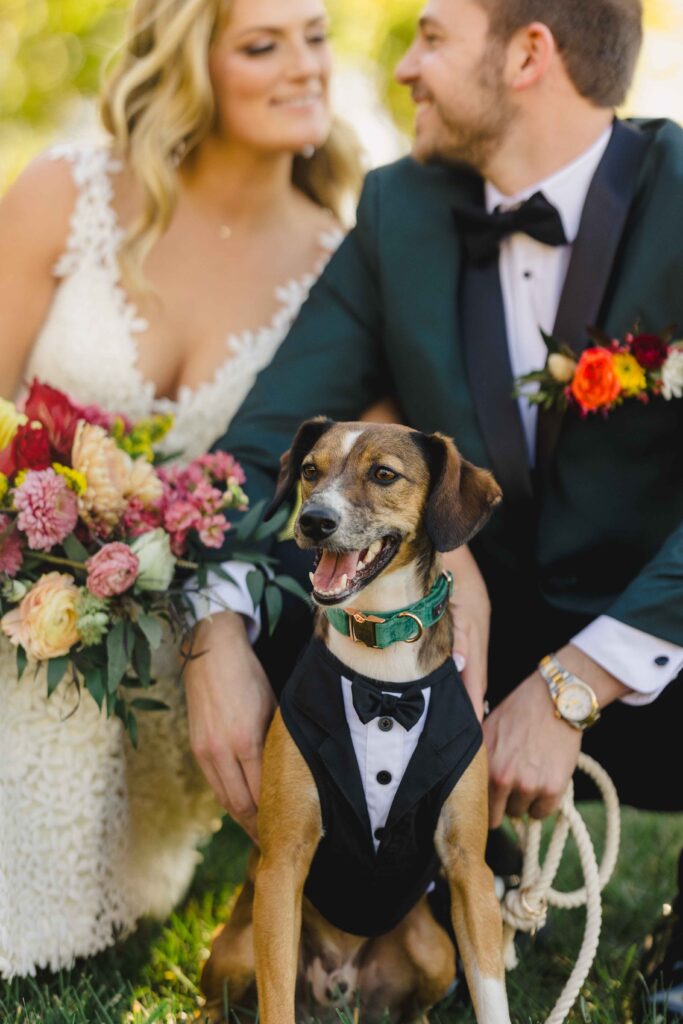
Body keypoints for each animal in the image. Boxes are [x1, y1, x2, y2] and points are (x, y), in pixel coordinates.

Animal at [202, 417, 511, 1024]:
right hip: (233, 949)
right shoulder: (282, 866)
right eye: (309, 471)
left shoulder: (469, 868)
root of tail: (338, 985)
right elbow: (275, 999)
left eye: (384, 475)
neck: (381, 658)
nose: (314, 521)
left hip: (434, 951)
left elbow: (491, 991)